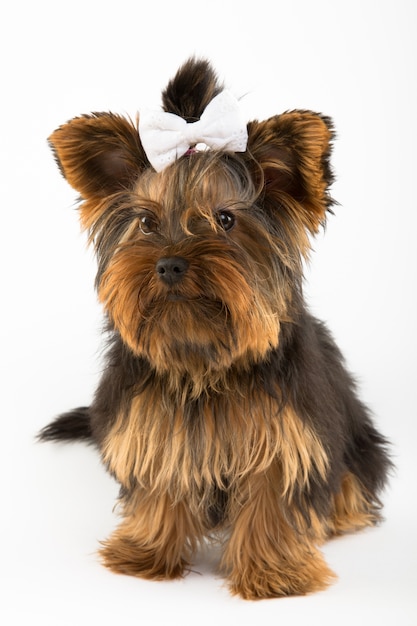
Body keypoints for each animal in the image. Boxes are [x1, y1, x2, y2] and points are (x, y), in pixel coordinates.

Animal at [39, 59, 390, 600]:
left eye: (225, 219)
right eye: (147, 222)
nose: (169, 264)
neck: (202, 359)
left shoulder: (288, 435)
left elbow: (273, 495)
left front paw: (272, 572)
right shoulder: (152, 423)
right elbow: (161, 476)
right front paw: (147, 553)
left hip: (357, 442)